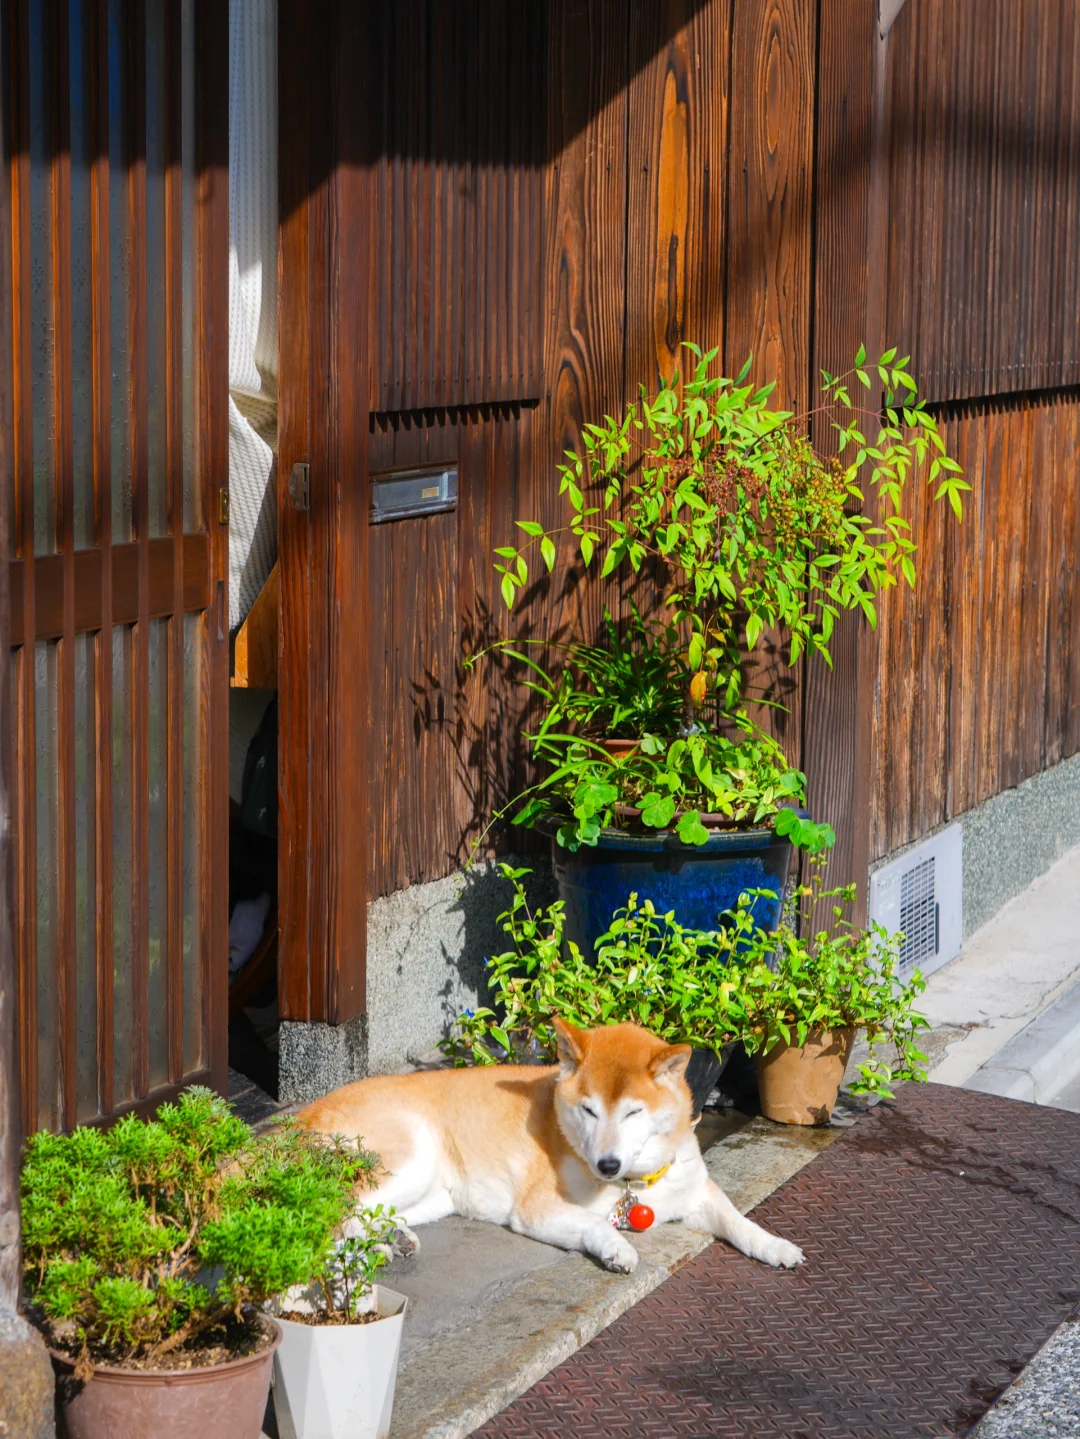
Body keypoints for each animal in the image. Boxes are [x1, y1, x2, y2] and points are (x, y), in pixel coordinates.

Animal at [296, 1013, 805, 1272]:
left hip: (432, 1194)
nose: (607, 1165)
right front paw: (616, 1249)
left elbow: (738, 1219)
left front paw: (775, 1246)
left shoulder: (695, 1188)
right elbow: (594, 1223)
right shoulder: (537, 1210)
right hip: (412, 1156)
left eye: (633, 1112)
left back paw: (389, 1244)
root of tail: (297, 1120)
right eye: (589, 1110)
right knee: (329, 1217)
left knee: (351, 1217)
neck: (635, 1185)